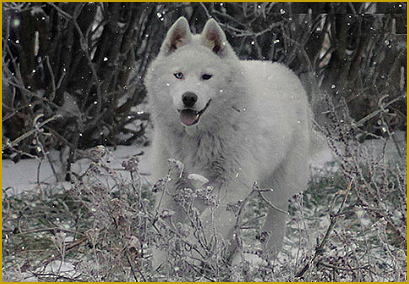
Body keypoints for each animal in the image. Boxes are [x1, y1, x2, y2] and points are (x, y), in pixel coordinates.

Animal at [145, 16, 310, 270]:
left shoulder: (232, 185)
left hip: (281, 180)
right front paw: (163, 269)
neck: (199, 136)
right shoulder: (172, 184)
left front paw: (192, 259)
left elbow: (205, 226)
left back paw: (267, 257)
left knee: (277, 214)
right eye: (178, 75)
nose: (189, 97)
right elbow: (166, 231)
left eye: (206, 76)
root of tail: (286, 71)